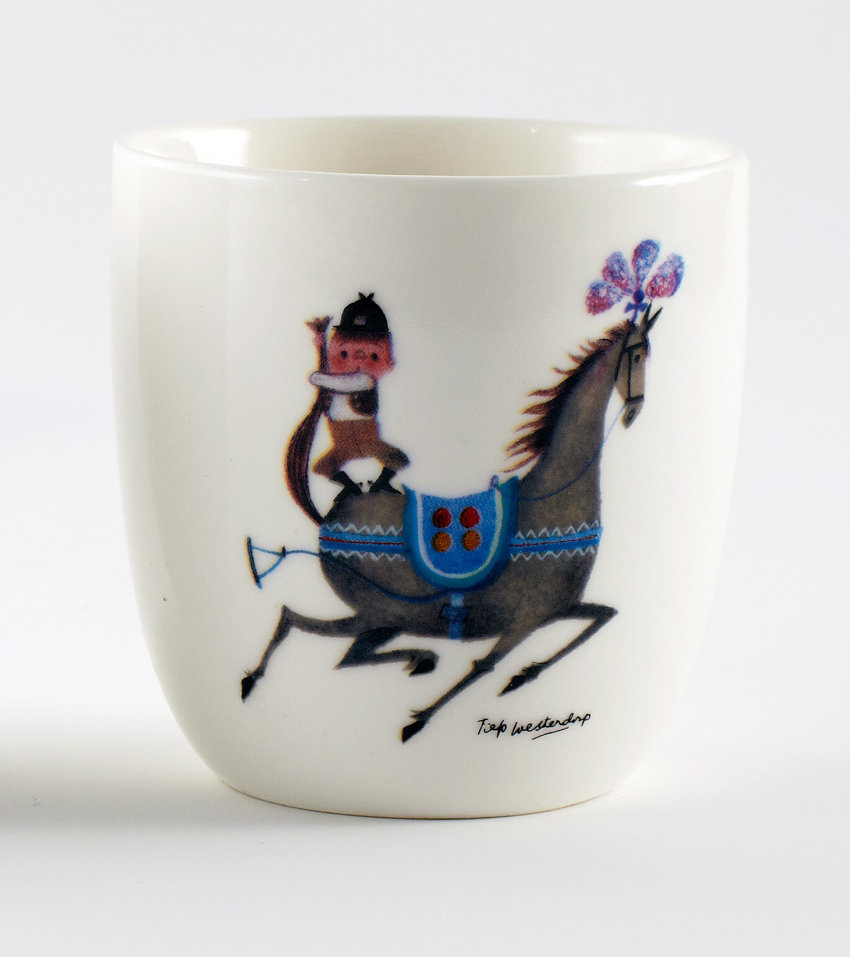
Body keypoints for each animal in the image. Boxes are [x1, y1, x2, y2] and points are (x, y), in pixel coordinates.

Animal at [241, 305, 661, 741]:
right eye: (636, 356)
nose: (636, 410)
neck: (552, 500)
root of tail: (330, 517)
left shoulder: (560, 608)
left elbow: (603, 616)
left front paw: (522, 676)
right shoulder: (526, 617)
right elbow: (484, 665)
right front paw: (419, 719)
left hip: (381, 620)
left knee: (319, 637)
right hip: (382, 615)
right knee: (313, 632)